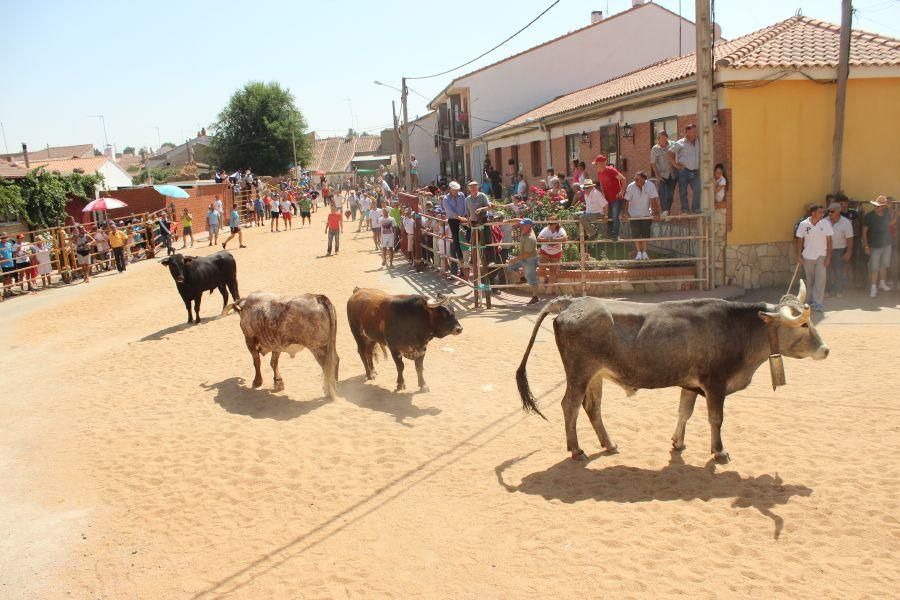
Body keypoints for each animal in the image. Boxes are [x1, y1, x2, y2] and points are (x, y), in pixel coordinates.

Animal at [516, 282, 828, 464]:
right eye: (803, 324)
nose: (825, 350)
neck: (738, 329)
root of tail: (572, 302)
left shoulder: (691, 384)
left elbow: (684, 412)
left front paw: (678, 442)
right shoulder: (715, 384)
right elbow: (716, 418)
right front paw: (719, 451)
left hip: (595, 375)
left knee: (592, 407)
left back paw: (609, 444)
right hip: (579, 373)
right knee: (569, 405)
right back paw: (576, 449)